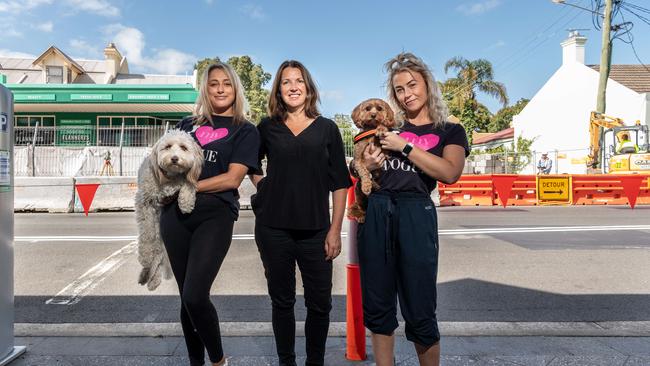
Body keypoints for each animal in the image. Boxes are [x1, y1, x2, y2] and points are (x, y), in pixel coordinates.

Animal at [133, 130, 201, 290]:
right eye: (168, 146)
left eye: (183, 147)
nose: (174, 158)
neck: (170, 176)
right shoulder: (144, 203)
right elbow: (147, 235)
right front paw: (145, 256)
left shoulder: (182, 180)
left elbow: (187, 183)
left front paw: (186, 203)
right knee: (154, 247)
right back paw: (146, 273)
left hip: (161, 232)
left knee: (159, 254)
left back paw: (153, 280)